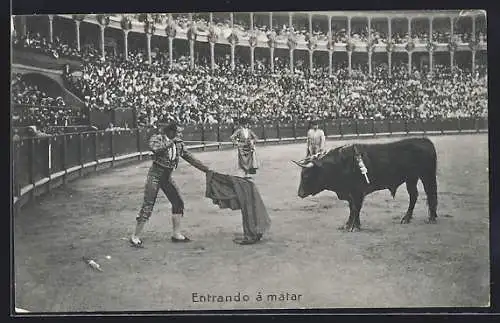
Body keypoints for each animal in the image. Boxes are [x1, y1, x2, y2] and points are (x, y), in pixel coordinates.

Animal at [292, 138, 438, 232]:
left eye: (306, 176)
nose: (300, 194)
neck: (340, 165)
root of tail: (425, 141)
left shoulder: (357, 192)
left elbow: (356, 208)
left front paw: (355, 227)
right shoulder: (349, 193)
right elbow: (352, 208)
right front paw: (348, 225)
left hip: (427, 176)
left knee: (430, 194)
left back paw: (431, 217)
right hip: (411, 179)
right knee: (414, 195)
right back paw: (406, 218)